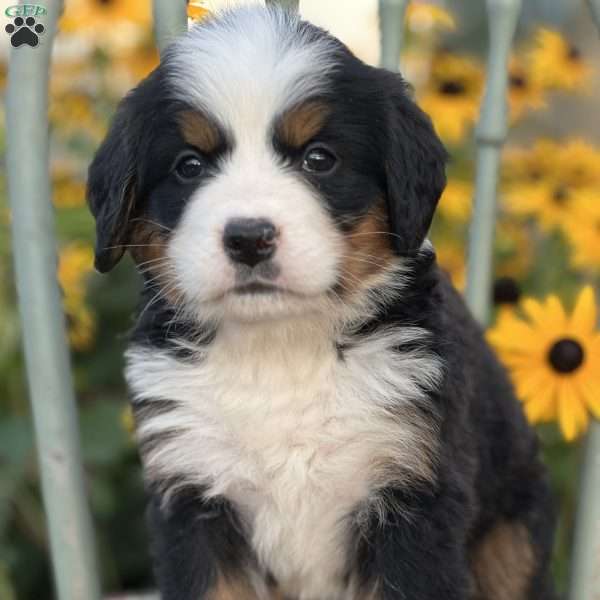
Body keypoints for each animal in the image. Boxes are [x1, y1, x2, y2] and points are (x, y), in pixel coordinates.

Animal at [88, 5, 556, 600]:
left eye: (319, 159)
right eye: (189, 166)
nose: (249, 238)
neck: (279, 350)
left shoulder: (412, 498)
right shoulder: (193, 494)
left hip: (510, 541)